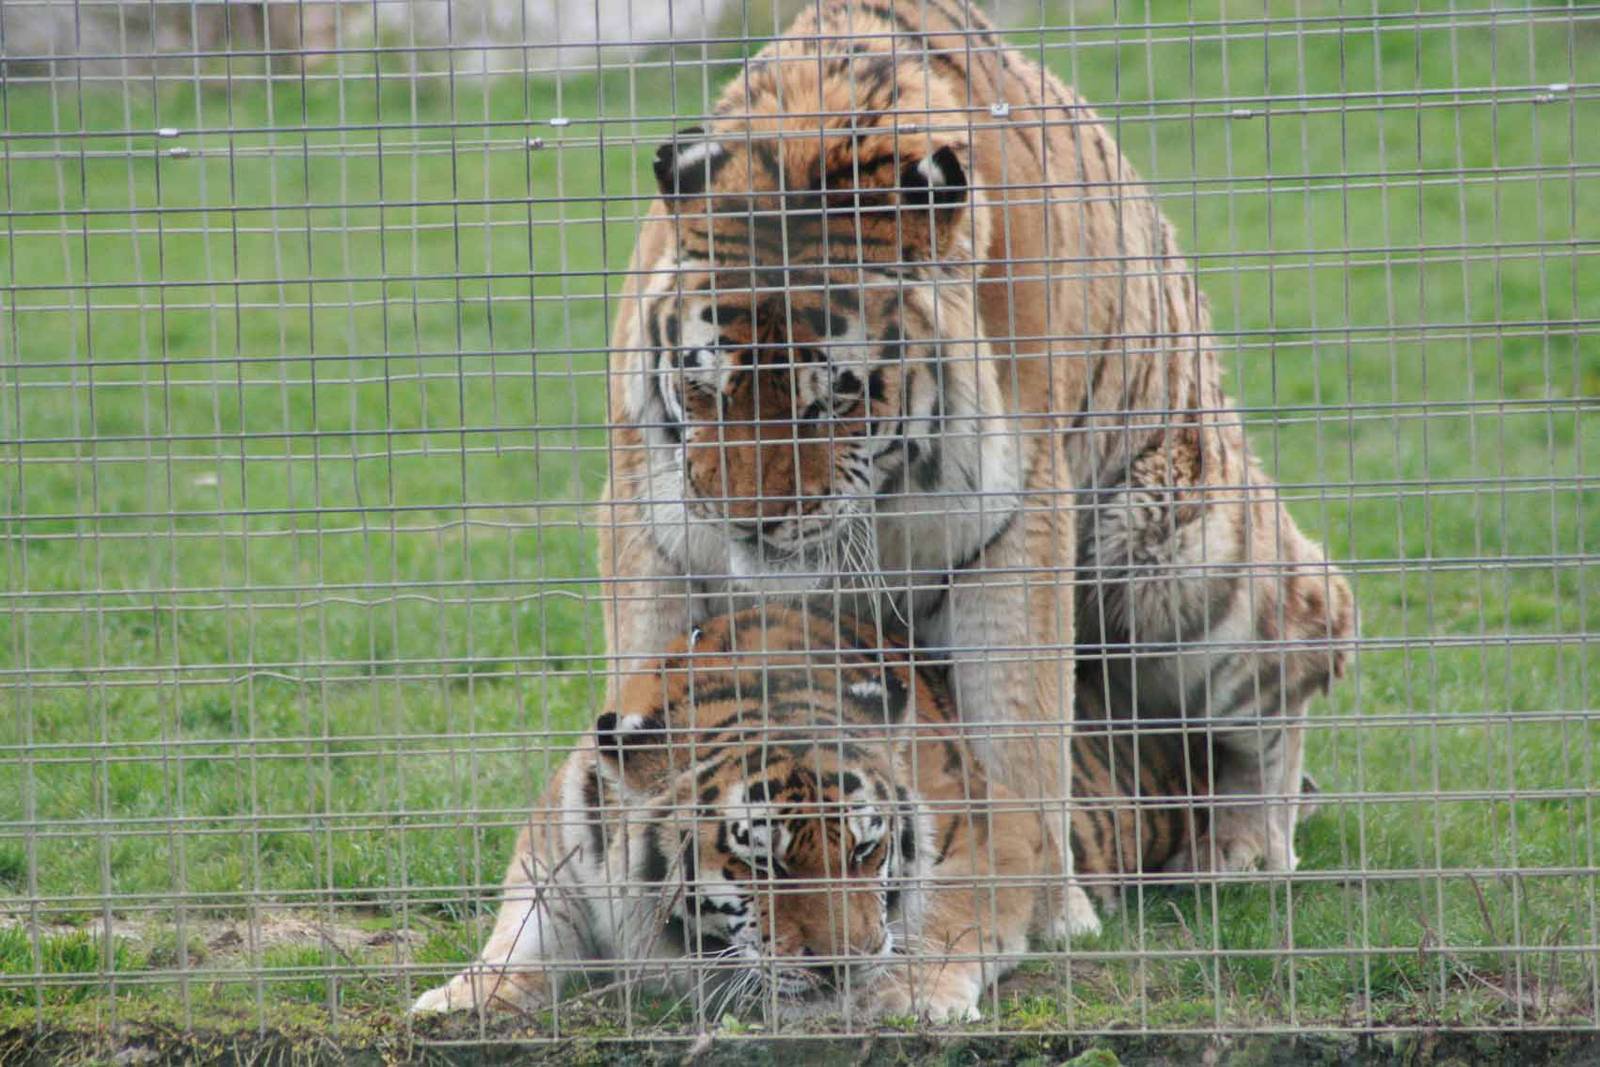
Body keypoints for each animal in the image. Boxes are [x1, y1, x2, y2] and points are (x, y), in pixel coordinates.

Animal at [411, 607, 1295, 1023]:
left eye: (866, 851)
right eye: (762, 861)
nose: (845, 962)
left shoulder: (998, 830)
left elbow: (949, 916)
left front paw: (910, 994)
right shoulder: (554, 856)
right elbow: (518, 938)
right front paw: (463, 999)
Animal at [597, 0, 1355, 935]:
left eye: (832, 398)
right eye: (707, 383)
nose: (747, 520)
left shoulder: (1017, 520)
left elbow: (1018, 727)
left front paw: (1044, 913)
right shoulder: (649, 516)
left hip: (1181, 559)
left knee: (1305, 655)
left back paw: (1243, 849)